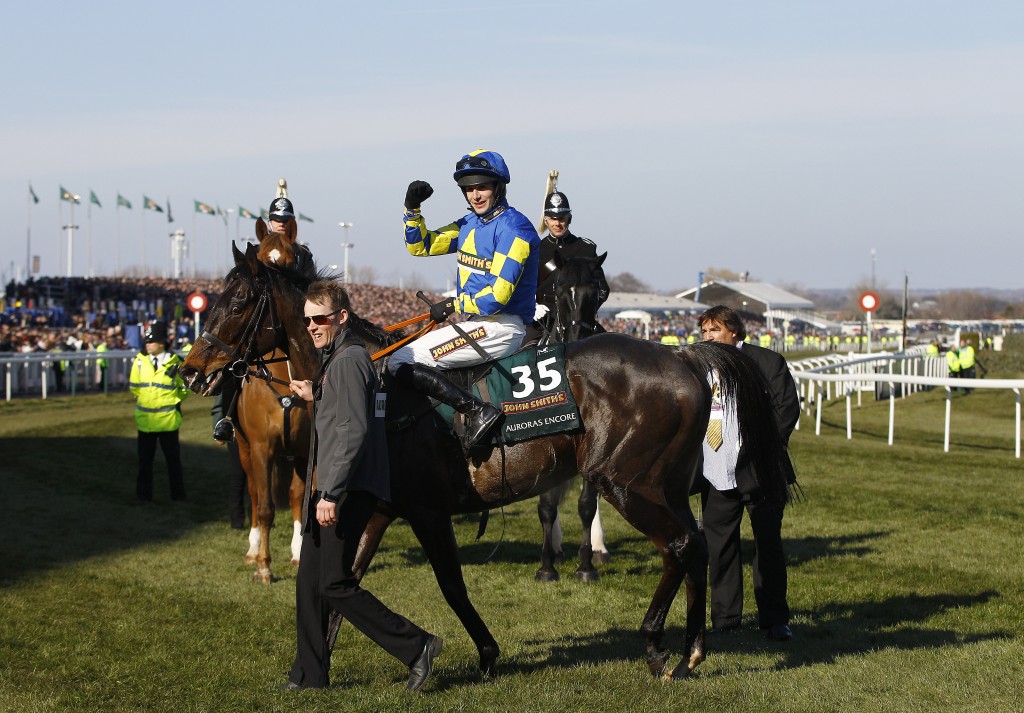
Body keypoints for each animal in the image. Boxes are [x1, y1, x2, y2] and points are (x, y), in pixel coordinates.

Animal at [182, 239, 790, 680]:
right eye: (212, 298)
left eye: (238, 302)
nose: (190, 368)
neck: (376, 387)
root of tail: (683, 356)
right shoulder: (378, 506)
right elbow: (344, 580)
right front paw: (314, 663)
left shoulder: (426, 510)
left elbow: (450, 586)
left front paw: (481, 653)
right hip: (661, 484)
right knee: (695, 546)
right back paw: (692, 648)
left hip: (626, 481)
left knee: (681, 546)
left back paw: (657, 645)